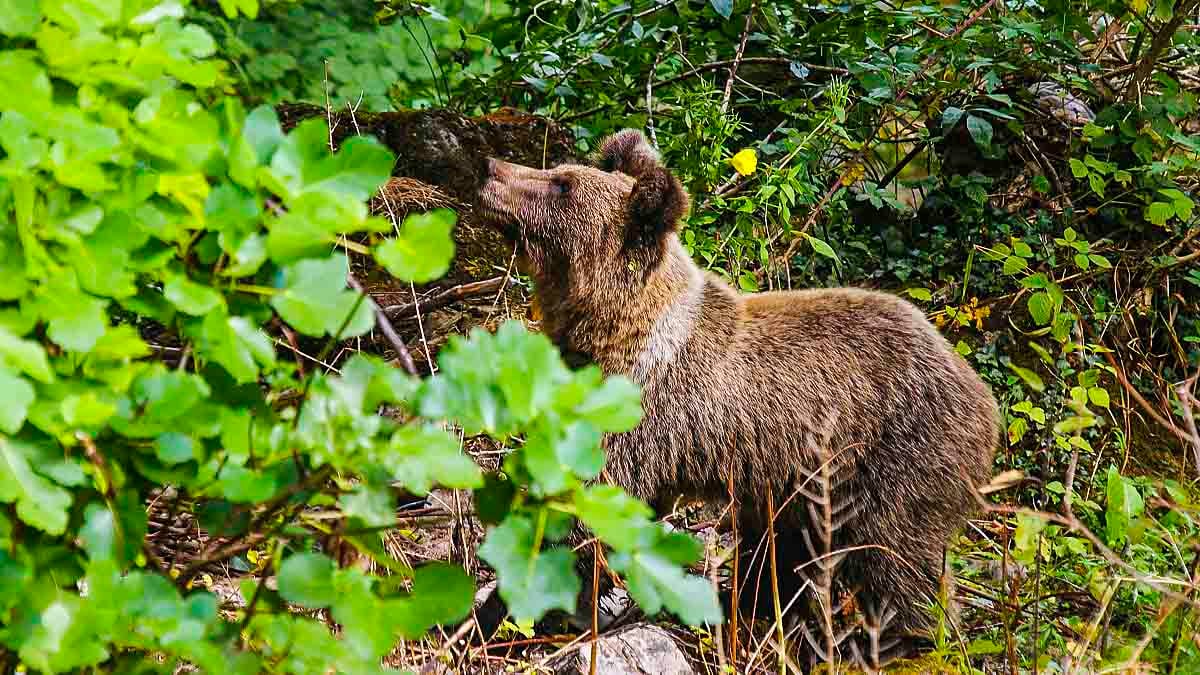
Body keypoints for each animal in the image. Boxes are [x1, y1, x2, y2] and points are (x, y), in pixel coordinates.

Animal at [472, 128, 998, 653]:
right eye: (559, 171)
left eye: (562, 186)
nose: (490, 169)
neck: (614, 330)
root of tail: (984, 397)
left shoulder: (637, 414)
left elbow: (583, 509)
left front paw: (509, 609)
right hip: (801, 488)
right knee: (785, 553)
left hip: (894, 457)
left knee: (896, 557)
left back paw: (902, 639)